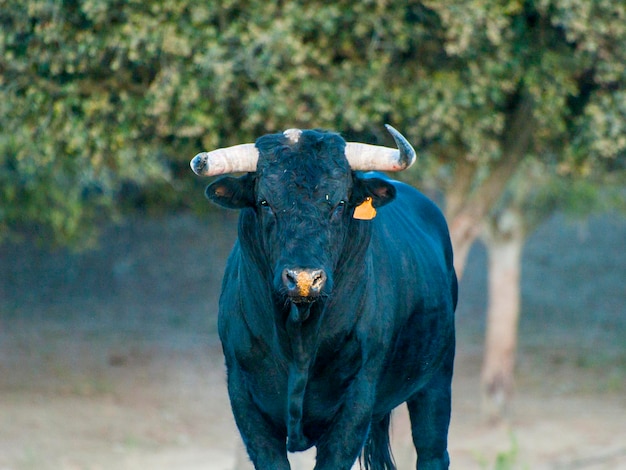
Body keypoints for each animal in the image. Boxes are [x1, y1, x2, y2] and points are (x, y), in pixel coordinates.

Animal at [197, 129, 456, 470]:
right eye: (265, 202)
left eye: (340, 202)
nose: (304, 279)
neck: (299, 340)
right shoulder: (245, 402)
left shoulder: (355, 406)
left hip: (436, 380)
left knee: (432, 452)